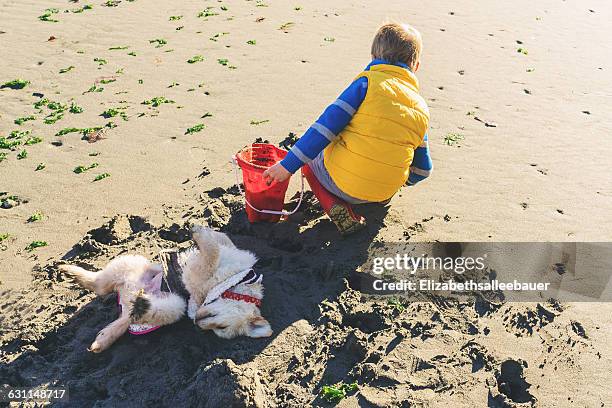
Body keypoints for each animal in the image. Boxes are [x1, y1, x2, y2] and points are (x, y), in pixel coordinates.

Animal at [59, 225, 270, 352]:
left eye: (220, 329)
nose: (197, 324)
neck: (235, 280)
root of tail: (127, 306)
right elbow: (221, 240)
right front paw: (202, 231)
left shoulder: (194, 280)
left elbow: (212, 255)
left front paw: (201, 234)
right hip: (127, 265)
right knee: (99, 284)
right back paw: (70, 272)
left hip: (172, 301)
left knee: (106, 291)